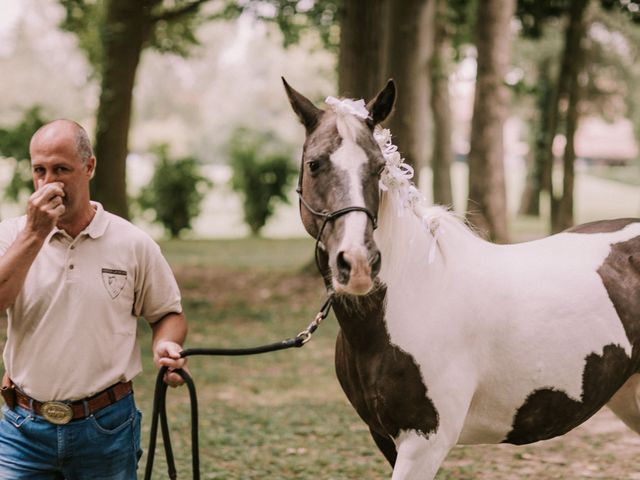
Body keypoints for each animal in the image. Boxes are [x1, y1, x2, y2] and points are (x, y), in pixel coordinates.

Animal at [282, 77, 640, 478]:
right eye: (314, 164)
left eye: (377, 167)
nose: (358, 263)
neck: (412, 296)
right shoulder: (384, 437)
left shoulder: (423, 444)